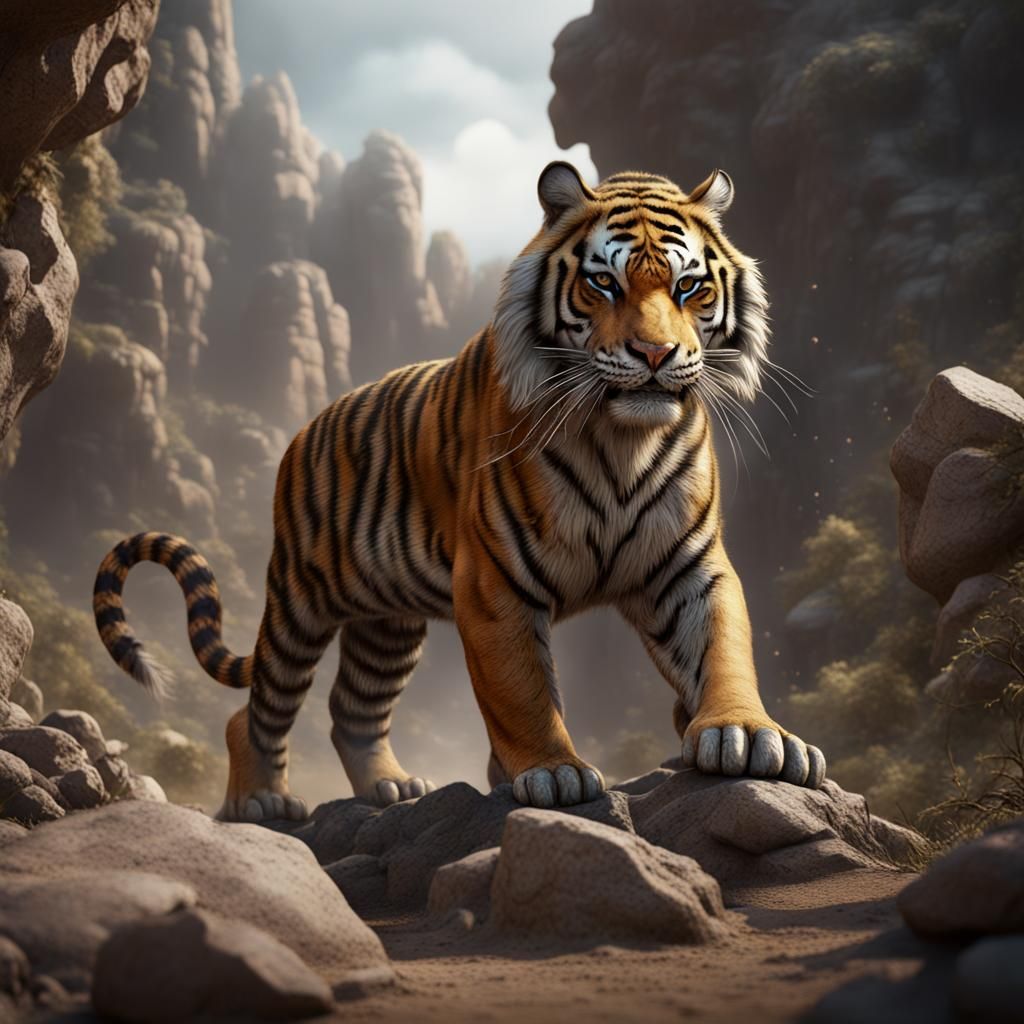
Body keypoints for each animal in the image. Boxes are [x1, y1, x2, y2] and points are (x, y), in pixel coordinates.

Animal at [93, 161, 826, 822]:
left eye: (688, 286)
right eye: (603, 282)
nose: (654, 355)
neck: (622, 439)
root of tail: (307, 425)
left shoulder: (689, 565)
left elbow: (723, 647)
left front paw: (748, 736)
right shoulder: (496, 582)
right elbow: (522, 690)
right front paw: (552, 774)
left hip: (386, 625)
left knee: (351, 709)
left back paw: (391, 787)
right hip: (300, 601)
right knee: (258, 710)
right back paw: (260, 800)